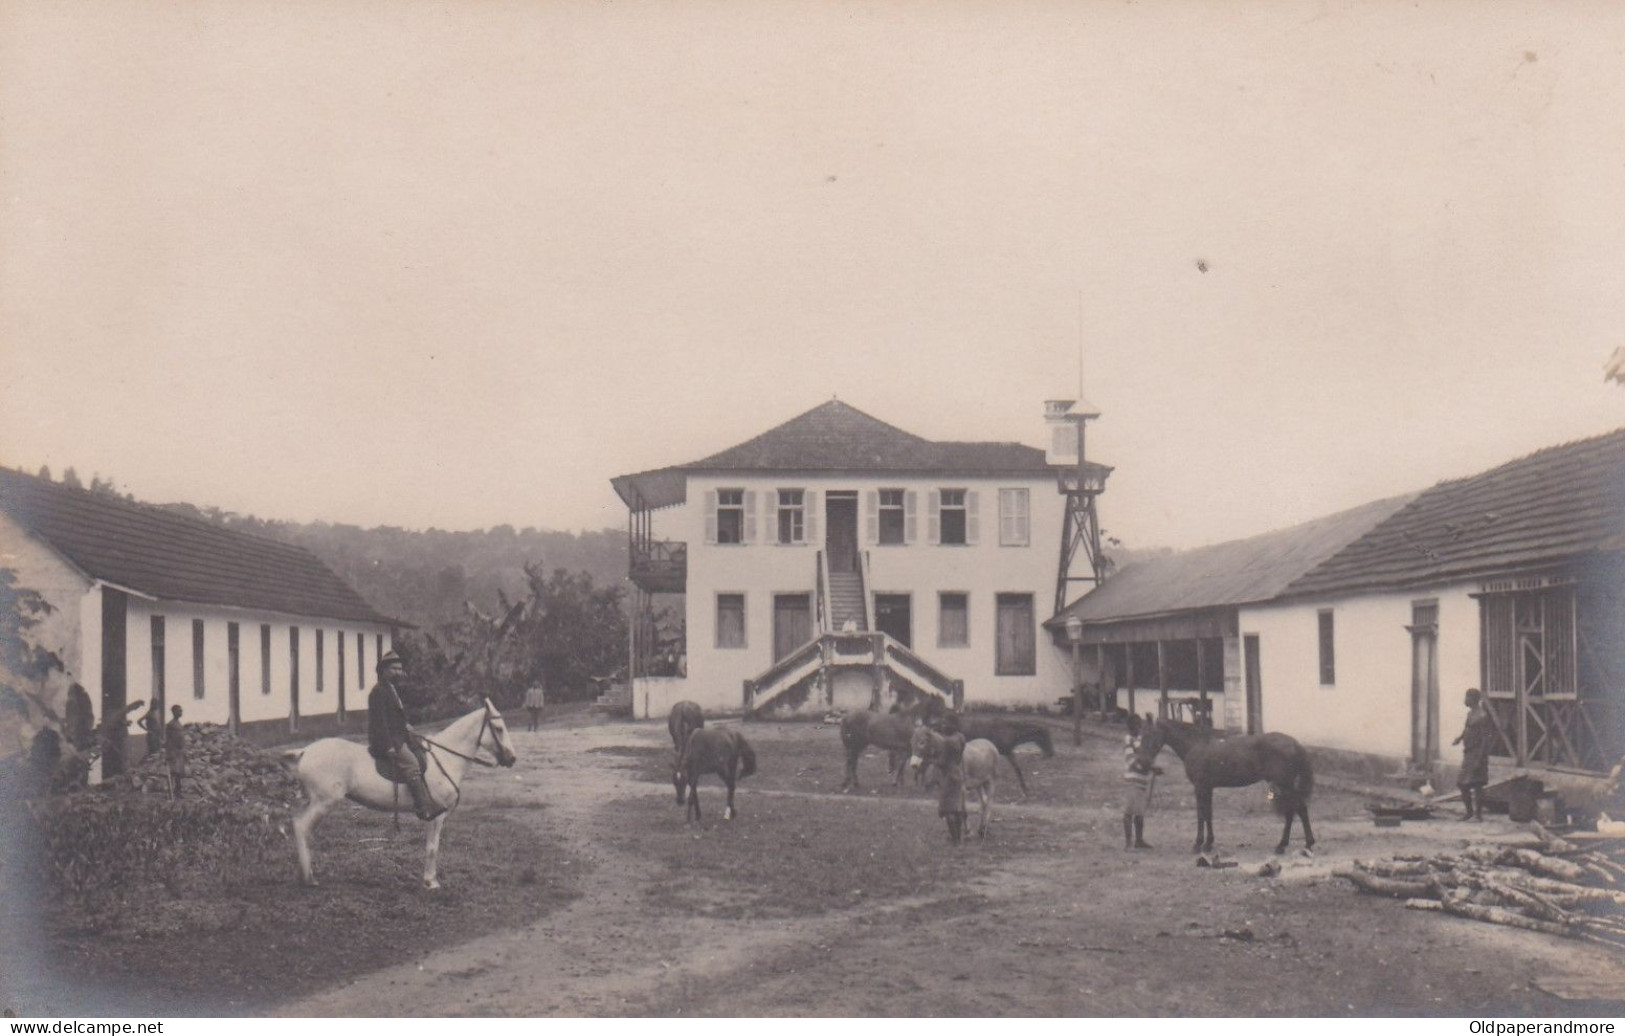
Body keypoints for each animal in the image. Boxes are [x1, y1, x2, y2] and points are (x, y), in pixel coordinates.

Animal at [282, 701, 516, 889]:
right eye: (498, 728)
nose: (512, 759)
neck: (445, 757)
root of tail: (305, 751)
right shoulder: (436, 815)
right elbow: (432, 847)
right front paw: (431, 882)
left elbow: (432, 846)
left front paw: (429, 879)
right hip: (324, 802)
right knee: (302, 827)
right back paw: (308, 878)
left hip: (313, 801)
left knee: (297, 822)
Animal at [1137, 717, 1313, 857]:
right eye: (1141, 734)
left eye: (1150, 734)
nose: (1143, 762)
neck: (1196, 743)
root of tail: (1295, 744)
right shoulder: (1208, 788)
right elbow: (1208, 814)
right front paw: (1208, 844)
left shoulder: (1200, 787)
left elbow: (1201, 815)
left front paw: (1198, 844)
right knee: (1297, 810)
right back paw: (1302, 844)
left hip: (1285, 784)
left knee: (1296, 810)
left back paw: (1286, 845)